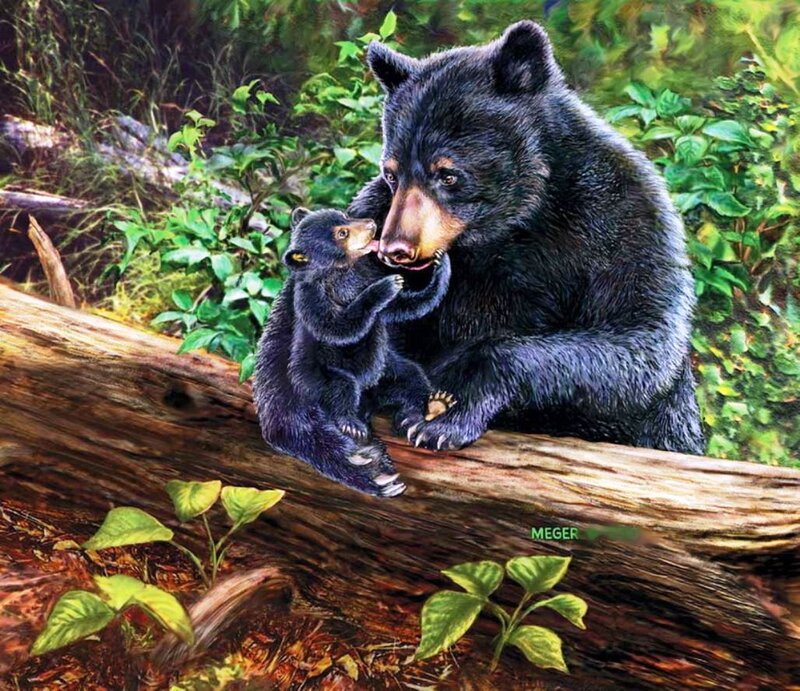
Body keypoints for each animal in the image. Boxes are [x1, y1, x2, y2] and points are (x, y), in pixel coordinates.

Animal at [253, 207, 453, 497]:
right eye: (342, 233)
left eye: (345, 215)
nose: (372, 224)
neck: (342, 272)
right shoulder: (313, 296)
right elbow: (338, 326)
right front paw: (385, 287)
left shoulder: (365, 276)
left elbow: (407, 306)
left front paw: (438, 263)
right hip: (313, 380)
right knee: (336, 392)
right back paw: (362, 449)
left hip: (385, 371)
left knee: (410, 376)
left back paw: (432, 407)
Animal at [346, 20, 705, 456]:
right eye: (392, 174)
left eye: (448, 174)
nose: (395, 249)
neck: (514, 223)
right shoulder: (373, 212)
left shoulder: (625, 219)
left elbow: (640, 341)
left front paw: (447, 414)